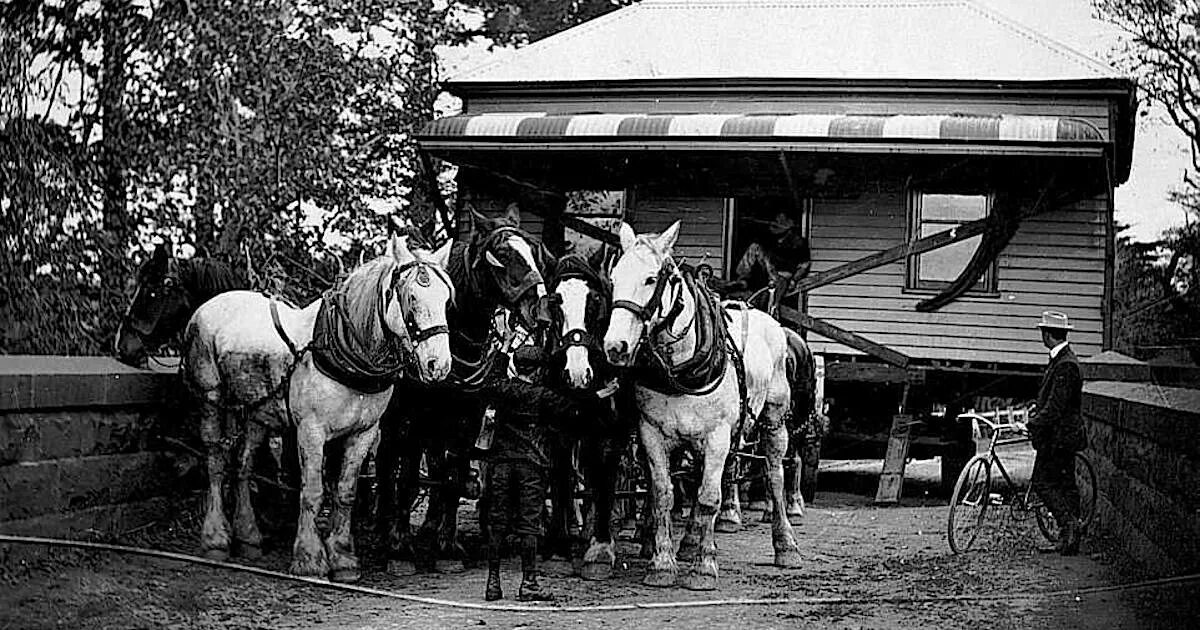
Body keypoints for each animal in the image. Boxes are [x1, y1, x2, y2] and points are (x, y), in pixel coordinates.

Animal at [180, 234, 451, 580]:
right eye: (412, 297)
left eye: (446, 299)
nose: (438, 365)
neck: (345, 352)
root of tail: (208, 306)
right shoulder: (311, 431)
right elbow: (312, 490)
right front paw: (310, 558)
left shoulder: (364, 433)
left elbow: (346, 492)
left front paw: (343, 557)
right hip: (211, 398)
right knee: (216, 460)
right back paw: (216, 538)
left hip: (257, 412)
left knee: (243, 464)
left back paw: (249, 535)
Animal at [604, 220, 801, 590]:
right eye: (614, 278)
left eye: (651, 279)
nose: (615, 346)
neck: (680, 368)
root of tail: (764, 315)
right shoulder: (652, 434)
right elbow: (664, 495)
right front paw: (662, 563)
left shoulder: (718, 437)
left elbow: (710, 497)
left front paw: (704, 568)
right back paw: (690, 542)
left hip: (773, 420)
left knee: (774, 475)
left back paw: (785, 545)